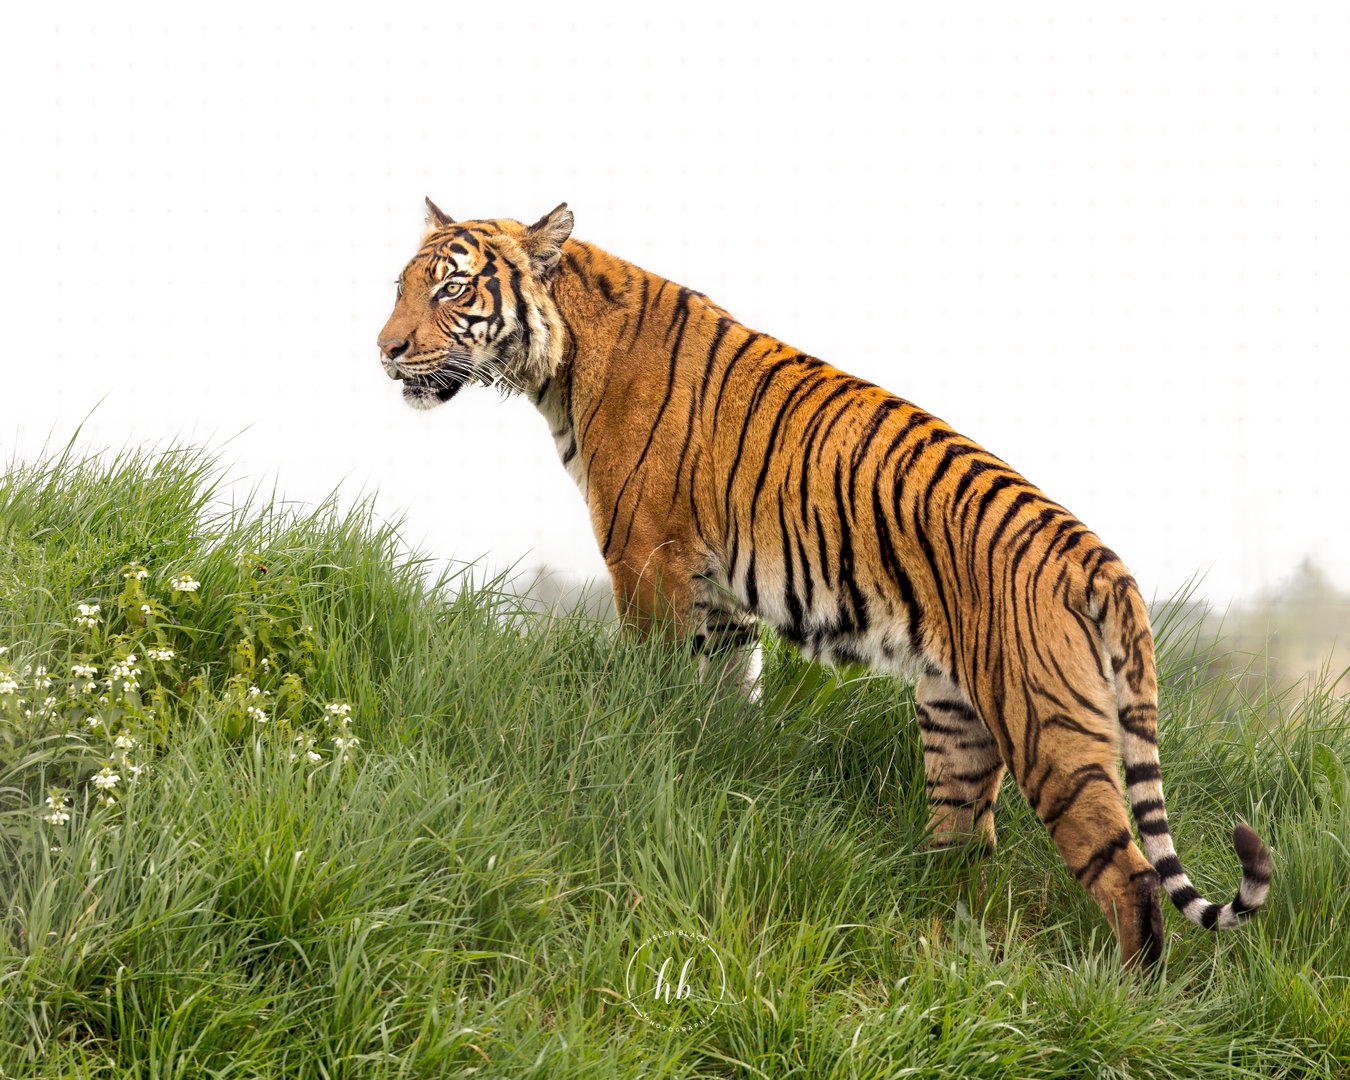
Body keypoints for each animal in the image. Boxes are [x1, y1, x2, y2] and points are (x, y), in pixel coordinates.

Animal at [377, 198, 1271, 969]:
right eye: (401, 287)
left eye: (452, 288)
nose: (383, 350)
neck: (560, 357)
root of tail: (1100, 560)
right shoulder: (718, 596)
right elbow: (721, 700)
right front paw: (707, 763)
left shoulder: (647, 559)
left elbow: (649, 685)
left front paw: (638, 746)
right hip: (955, 718)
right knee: (965, 848)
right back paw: (946, 948)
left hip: (1047, 728)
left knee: (1132, 878)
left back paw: (1125, 1002)